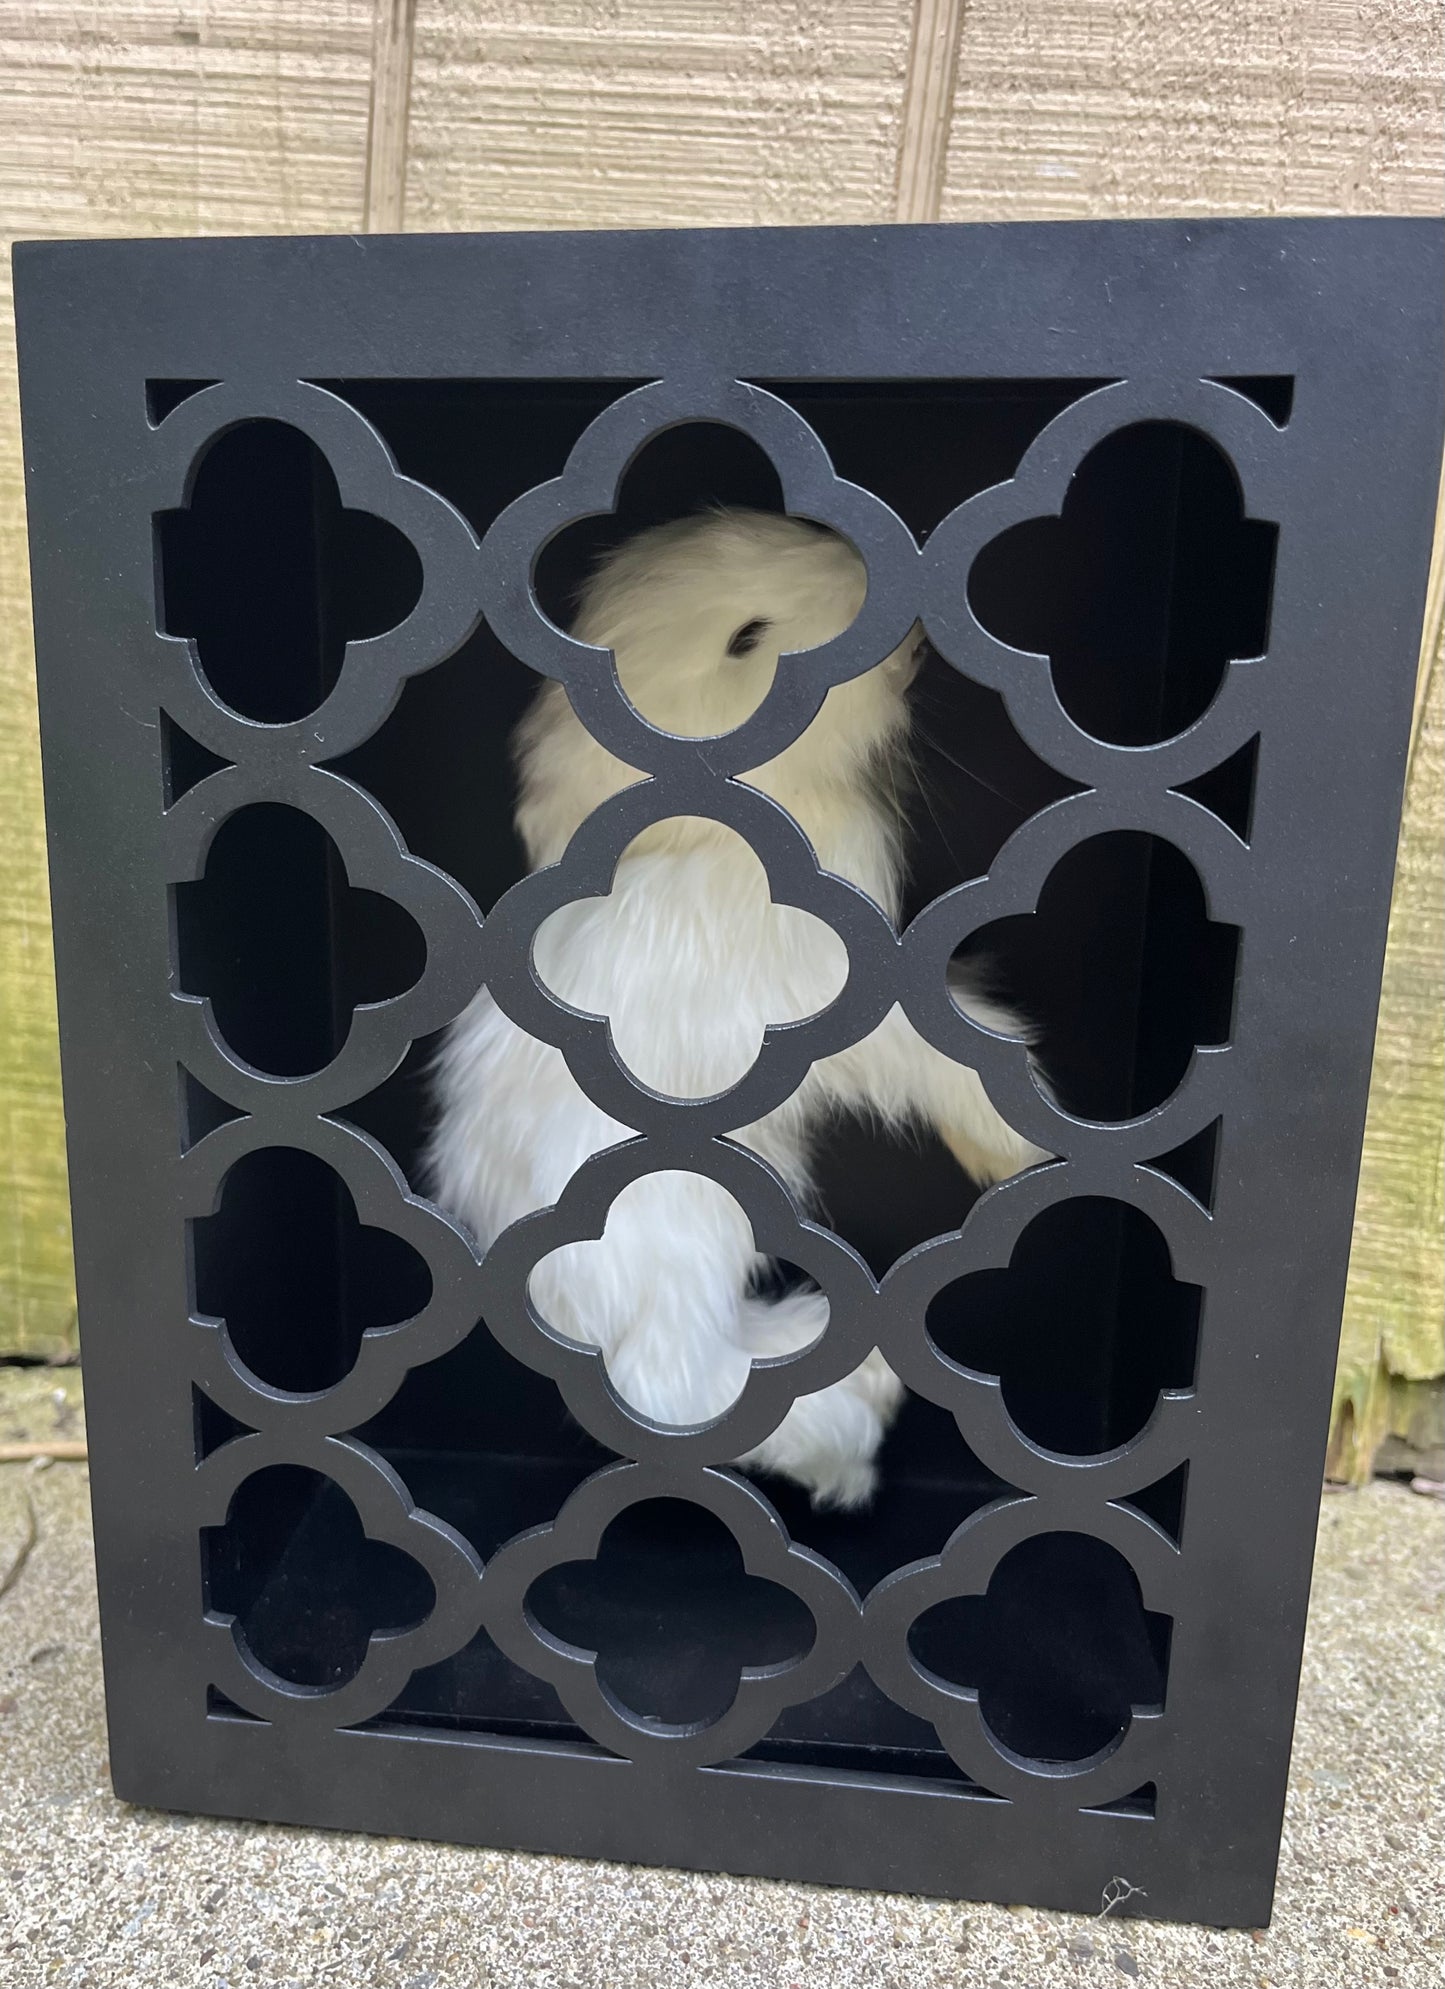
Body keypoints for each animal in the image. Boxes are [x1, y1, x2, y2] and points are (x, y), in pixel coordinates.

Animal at [423, 505, 1050, 1495]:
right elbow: (942, 1054)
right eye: (746, 638)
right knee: (677, 1388)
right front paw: (1015, 1146)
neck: (716, 833)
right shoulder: (832, 1005)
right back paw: (850, 1410)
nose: (886, 605)